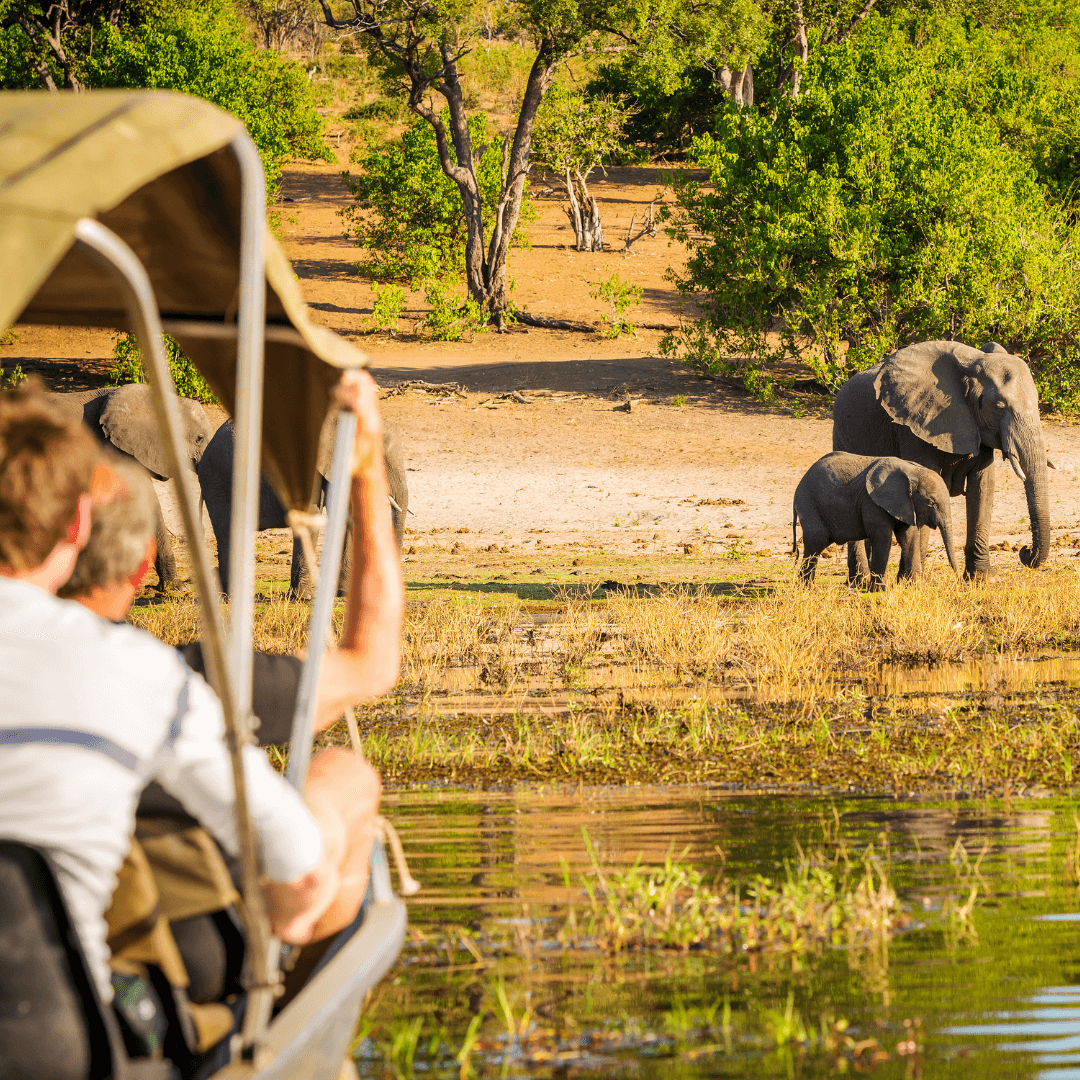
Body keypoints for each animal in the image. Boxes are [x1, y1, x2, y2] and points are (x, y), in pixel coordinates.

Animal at [794, 453, 963, 596]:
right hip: (809, 504)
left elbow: (909, 537)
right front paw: (878, 591)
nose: (961, 582)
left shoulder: (906, 504)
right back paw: (807, 589)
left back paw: (806, 588)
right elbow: (883, 538)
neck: (912, 471)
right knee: (816, 542)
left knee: (816, 546)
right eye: (931, 503)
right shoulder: (872, 502)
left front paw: (915, 588)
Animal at [829, 341, 1049, 583]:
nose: (1025, 551)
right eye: (999, 407)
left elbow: (982, 488)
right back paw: (859, 581)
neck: (970, 366)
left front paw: (984, 580)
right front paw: (913, 582)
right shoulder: (914, 426)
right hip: (840, 435)